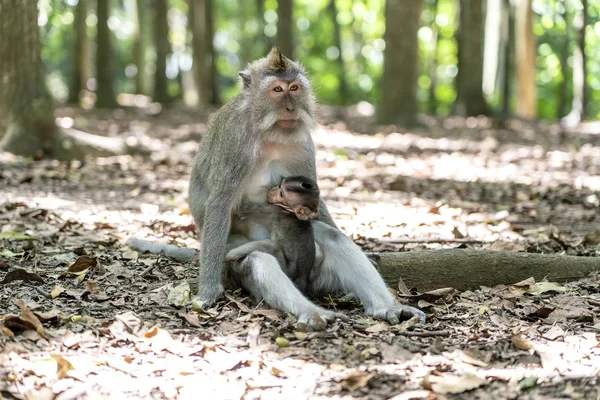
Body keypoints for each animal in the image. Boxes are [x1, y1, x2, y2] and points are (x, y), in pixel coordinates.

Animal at [190, 48, 424, 324]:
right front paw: (208, 290)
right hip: (238, 265)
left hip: (319, 274)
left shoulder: (302, 144)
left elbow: (316, 197)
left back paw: (386, 307)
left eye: (294, 87)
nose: (291, 108)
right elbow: (220, 203)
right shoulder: (234, 142)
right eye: (277, 90)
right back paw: (314, 313)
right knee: (257, 260)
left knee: (330, 237)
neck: (267, 133)